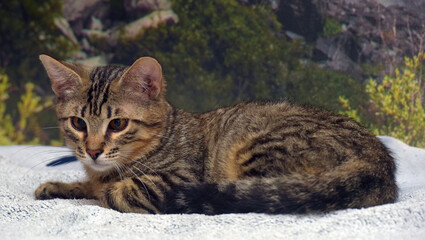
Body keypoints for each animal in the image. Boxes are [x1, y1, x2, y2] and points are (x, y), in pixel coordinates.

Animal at [34, 54, 396, 214]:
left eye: (118, 125)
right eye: (78, 123)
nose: (93, 150)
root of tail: (379, 161)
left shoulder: (177, 177)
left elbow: (115, 192)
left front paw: (100, 189)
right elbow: (90, 186)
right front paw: (60, 186)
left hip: (260, 148)